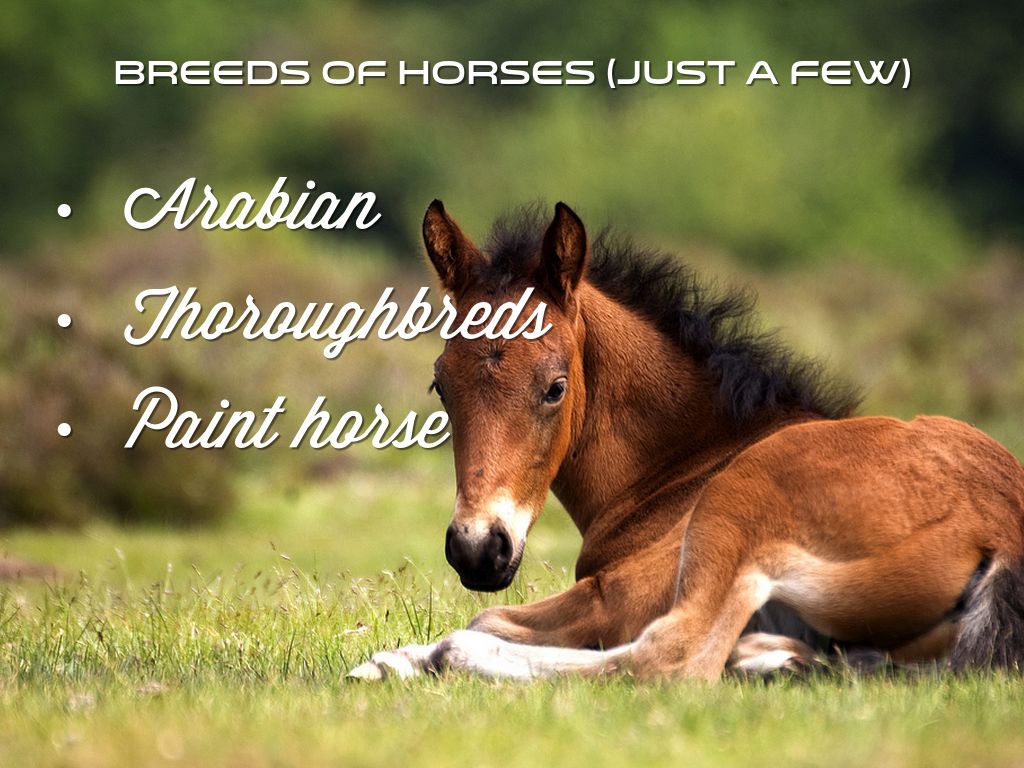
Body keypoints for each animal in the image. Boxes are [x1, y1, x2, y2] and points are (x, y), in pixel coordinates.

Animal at [348, 201, 1024, 682]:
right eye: (440, 385)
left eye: (555, 387)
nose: (476, 549)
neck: (686, 463)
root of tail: (1000, 532)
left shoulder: (619, 596)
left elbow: (488, 615)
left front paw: (404, 658)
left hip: (735, 513)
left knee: (671, 659)